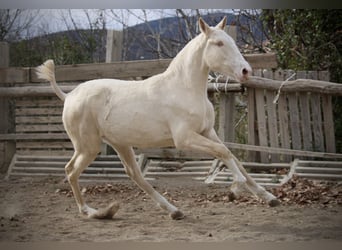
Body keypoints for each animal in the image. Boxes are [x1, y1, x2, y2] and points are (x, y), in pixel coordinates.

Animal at [36, 17, 280, 221]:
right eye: (219, 43)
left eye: (231, 41)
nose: (246, 71)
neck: (185, 89)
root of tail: (69, 96)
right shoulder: (185, 138)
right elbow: (224, 153)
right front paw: (234, 190)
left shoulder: (207, 132)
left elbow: (233, 157)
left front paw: (269, 198)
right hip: (89, 146)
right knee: (71, 171)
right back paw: (89, 211)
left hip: (119, 144)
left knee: (134, 175)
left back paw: (173, 211)